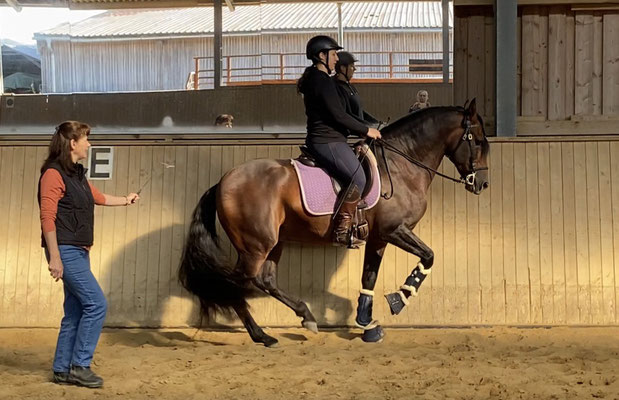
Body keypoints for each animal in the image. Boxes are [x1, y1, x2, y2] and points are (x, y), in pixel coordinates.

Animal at [178, 98, 490, 346]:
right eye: (477, 141)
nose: (482, 184)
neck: (403, 165)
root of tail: (223, 182)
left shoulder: (378, 236)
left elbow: (369, 276)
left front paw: (367, 324)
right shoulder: (393, 230)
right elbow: (429, 256)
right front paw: (398, 299)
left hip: (273, 242)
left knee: (265, 280)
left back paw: (306, 316)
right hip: (256, 245)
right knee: (239, 283)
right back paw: (262, 336)